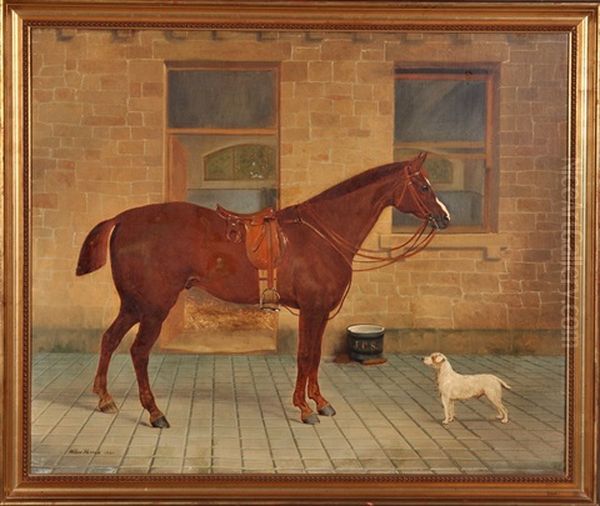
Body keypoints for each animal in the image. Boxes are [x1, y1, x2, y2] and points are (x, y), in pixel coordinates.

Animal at [76, 153, 450, 426]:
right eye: (422, 185)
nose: (445, 218)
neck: (321, 234)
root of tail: (123, 219)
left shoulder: (320, 313)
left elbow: (314, 356)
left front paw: (321, 402)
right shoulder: (312, 309)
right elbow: (305, 356)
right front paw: (304, 409)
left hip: (132, 304)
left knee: (109, 340)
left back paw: (105, 399)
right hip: (153, 308)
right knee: (138, 352)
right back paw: (155, 414)